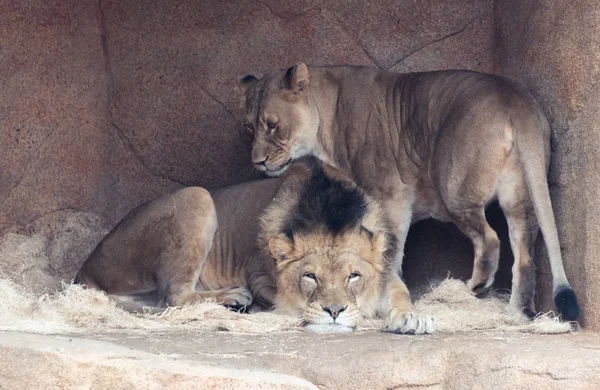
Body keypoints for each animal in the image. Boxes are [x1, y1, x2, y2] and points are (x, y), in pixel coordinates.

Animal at [75, 157, 436, 334]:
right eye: (310, 277)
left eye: (354, 276)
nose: (334, 312)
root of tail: (85, 267)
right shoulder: (259, 274)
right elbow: (283, 301)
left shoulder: (387, 273)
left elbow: (401, 295)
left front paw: (413, 318)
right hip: (197, 196)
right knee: (174, 296)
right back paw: (234, 298)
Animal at [240, 63, 580, 320]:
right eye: (249, 127)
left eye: (272, 125)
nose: (257, 161)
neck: (327, 116)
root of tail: (516, 101)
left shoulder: (391, 196)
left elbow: (388, 247)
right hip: (519, 197)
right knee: (524, 256)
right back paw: (515, 313)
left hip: (452, 186)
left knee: (489, 238)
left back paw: (477, 287)